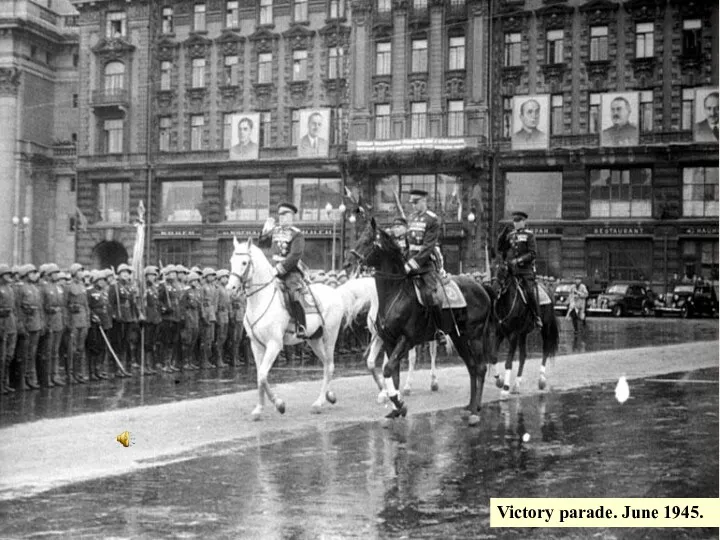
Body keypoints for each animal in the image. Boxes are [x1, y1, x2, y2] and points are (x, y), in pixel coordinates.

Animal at [226, 238, 372, 420]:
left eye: (244, 262)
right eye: (231, 261)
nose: (230, 289)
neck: (261, 300)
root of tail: (335, 292)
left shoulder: (274, 345)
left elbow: (262, 376)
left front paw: (279, 404)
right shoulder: (256, 345)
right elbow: (260, 376)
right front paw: (259, 409)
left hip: (330, 336)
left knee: (330, 366)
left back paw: (319, 403)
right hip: (314, 339)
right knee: (326, 364)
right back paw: (329, 395)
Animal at [348, 218, 496, 426]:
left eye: (369, 240)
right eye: (360, 236)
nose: (349, 262)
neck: (395, 293)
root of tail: (481, 287)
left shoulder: (406, 340)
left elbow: (388, 369)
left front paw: (399, 403)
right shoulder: (388, 341)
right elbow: (393, 373)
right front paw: (396, 407)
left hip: (474, 336)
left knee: (481, 368)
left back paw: (475, 411)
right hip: (458, 337)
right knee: (472, 367)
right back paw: (469, 406)